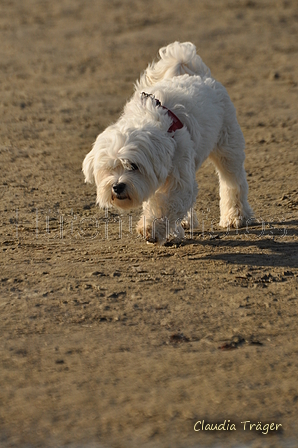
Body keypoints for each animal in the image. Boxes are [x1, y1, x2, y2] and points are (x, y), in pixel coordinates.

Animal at [82, 41, 253, 245]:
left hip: (227, 147)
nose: (117, 186)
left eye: (133, 166)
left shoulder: (178, 178)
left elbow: (166, 204)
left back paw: (236, 215)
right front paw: (171, 232)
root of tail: (198, 75)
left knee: (233, 180)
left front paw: (151, 228)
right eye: (109, 168)